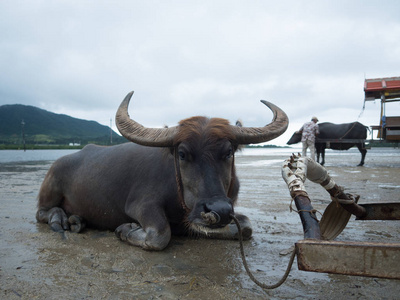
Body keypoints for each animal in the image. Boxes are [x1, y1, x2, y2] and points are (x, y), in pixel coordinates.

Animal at [36, 92, 288, 251]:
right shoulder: (140, 204)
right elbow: (159, 234)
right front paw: (127, 229)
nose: (219, 210)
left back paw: (77, 219)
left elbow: (245, 226)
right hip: (51, 184)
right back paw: (60, 217)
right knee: (41, 212)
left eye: (228, 152)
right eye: (182, 153)